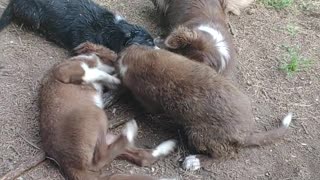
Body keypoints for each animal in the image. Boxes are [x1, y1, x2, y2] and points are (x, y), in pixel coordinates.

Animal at [39, 44, 178, 179]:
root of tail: (71, 167)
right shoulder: (65, 71)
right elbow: (96, 72)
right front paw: (115, 80)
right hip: (96, 114)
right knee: (100, 159)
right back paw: (130, 132)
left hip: (106, 135)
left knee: (140, 157)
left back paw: (167, 146)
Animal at [115, 44, 292, 170]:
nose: (120, 53)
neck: (143, 62)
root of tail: (247, 134)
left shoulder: (149, 100)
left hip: (198, 135)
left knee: (226, 155)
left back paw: (194, 161)